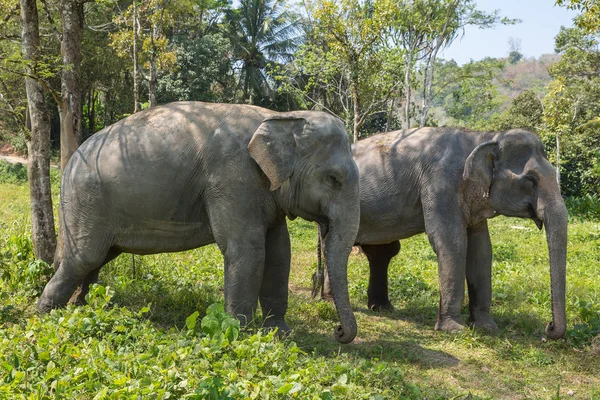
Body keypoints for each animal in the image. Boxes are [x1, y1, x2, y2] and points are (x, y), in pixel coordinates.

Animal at [38, 101, 360, 344]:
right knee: (84, 257)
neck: (281, 116)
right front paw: (239, 334)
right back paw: (46, 312)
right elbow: (247, 249)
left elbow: (280, 252)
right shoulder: (232, 179)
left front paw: (280, 334)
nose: (338, 332)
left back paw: (82, 307)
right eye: (333, 179)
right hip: (87, 201)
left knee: (98, 259)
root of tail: (69, 163)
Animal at [318, 127, 568, 338]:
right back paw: (330, 301)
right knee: (338, 245)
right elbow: (452, 243)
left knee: (381, 252)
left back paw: (381, 308)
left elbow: (481, 250)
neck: (481, 137)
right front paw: (453, 329)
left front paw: (486, 327)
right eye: (531, 180)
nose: (548, 328)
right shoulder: (440, 185)